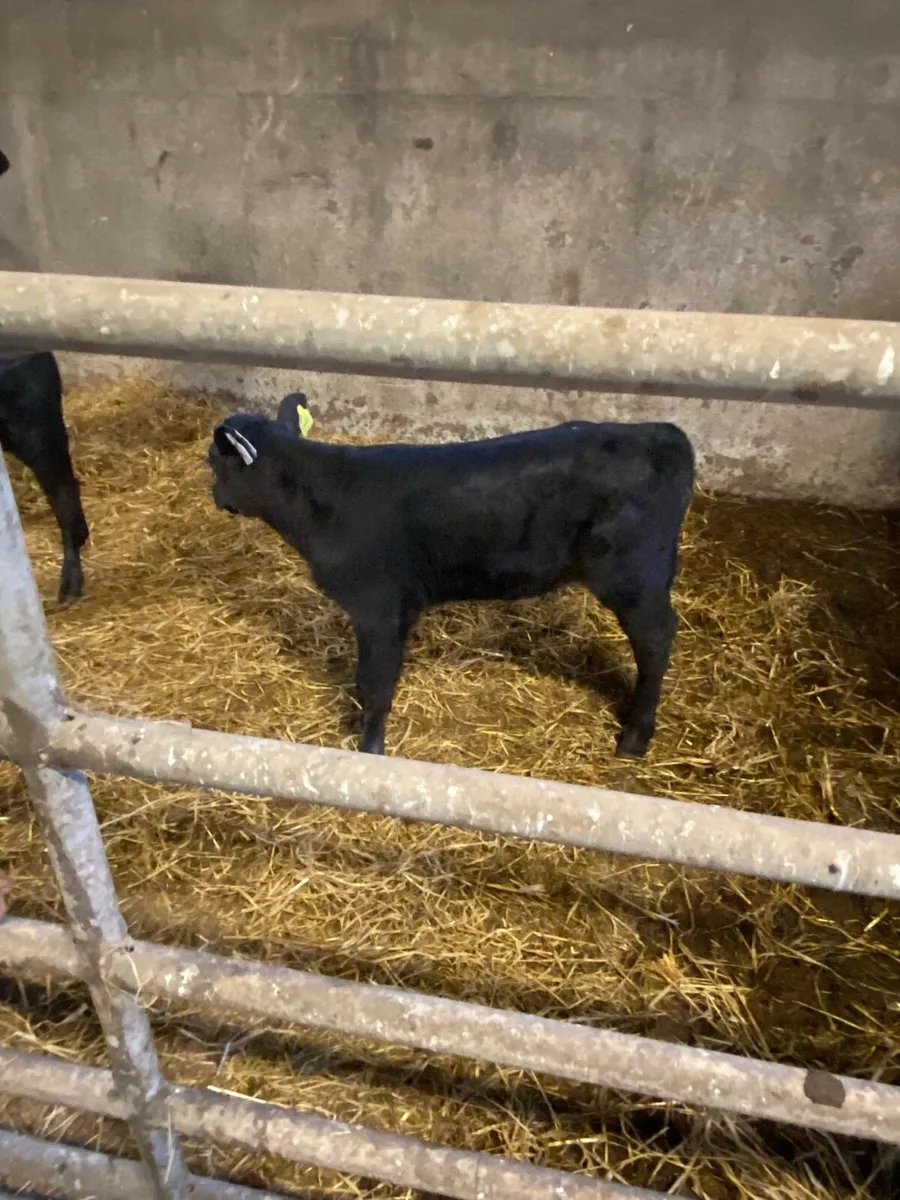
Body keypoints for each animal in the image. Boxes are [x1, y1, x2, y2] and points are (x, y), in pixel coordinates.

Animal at [207, 395, 694, 758]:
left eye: (214, 462)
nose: (214, 495)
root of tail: (661, 433)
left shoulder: (381, 608)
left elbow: (376, 685)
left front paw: (370, 749)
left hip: (634, 575)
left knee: (656, 640)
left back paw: (635, 737)